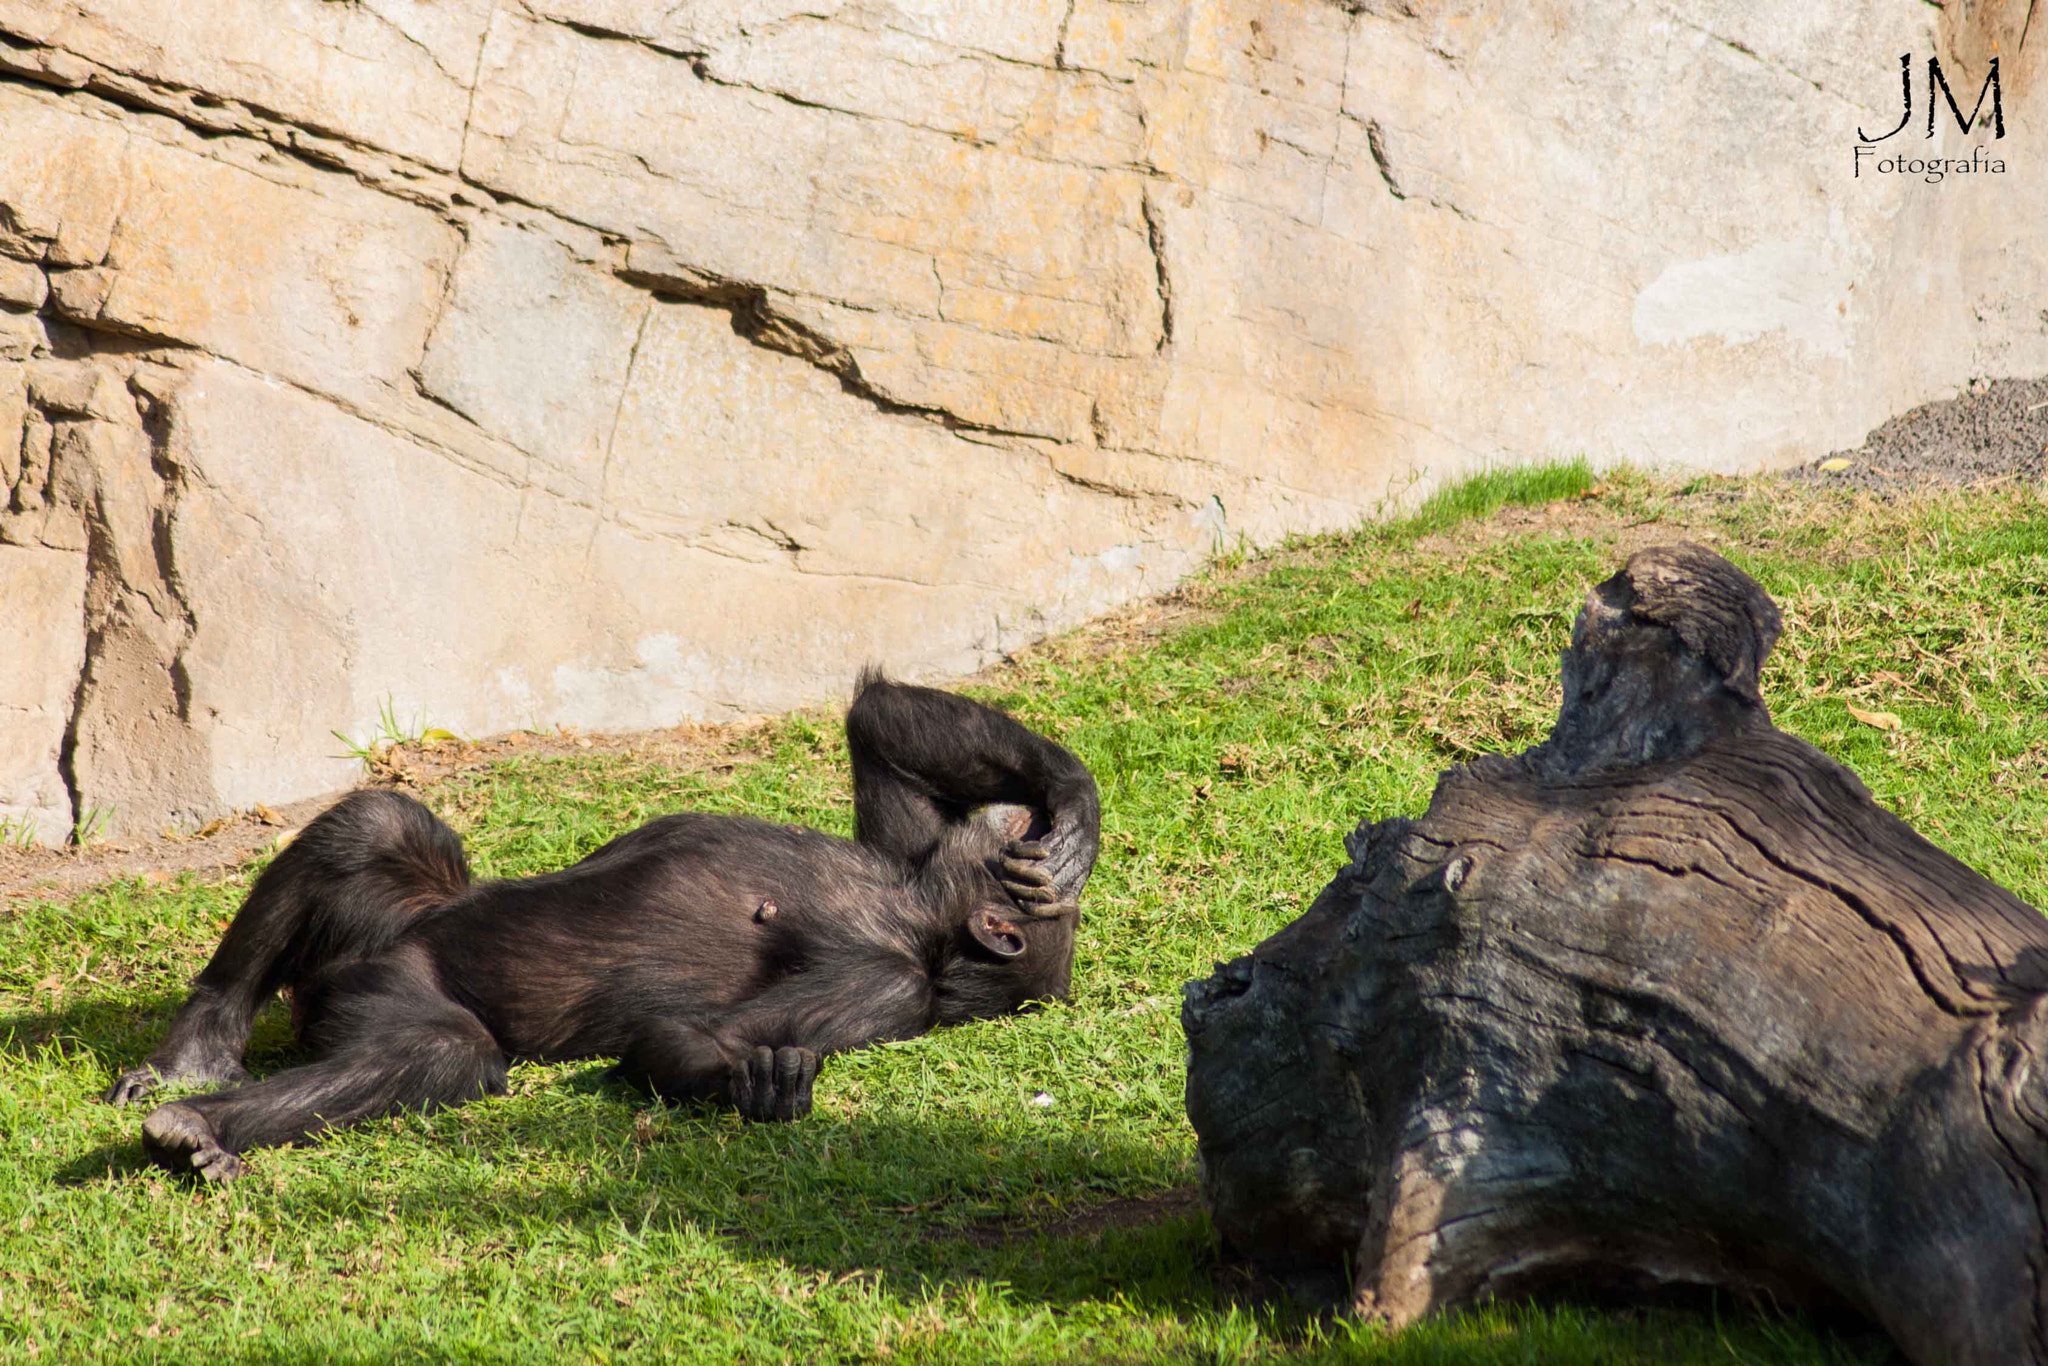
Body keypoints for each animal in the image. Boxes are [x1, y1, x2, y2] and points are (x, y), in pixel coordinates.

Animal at [103, 671, 1100, 1181]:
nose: (1019, 819)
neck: (910, 912)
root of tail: (323, 989)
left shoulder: (885, 986)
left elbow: (679, 1037)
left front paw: (763, 1081)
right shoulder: (909, 849)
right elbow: (877, 720)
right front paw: (1072, 806)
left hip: (383, 988)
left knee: (438, 1053)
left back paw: (195, 1127)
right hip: (380, 923)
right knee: (379, 824)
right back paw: (193, 1054)